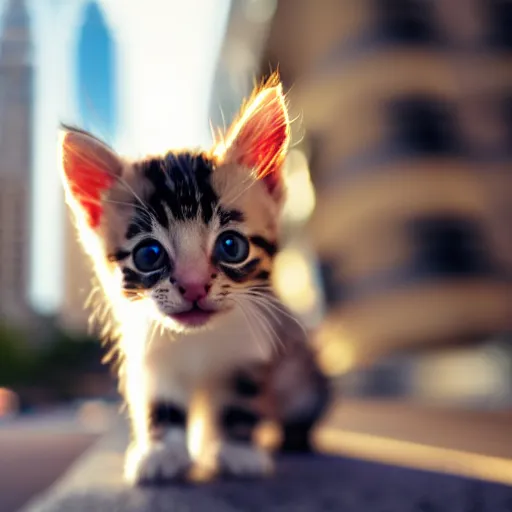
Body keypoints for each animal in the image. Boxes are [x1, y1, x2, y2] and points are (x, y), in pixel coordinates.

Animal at [58, 76, 330, 484]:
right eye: (149, 254)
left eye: (231, 246)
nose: (194, 286)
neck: (198, 340)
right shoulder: (150, 359)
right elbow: (161, 405)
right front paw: (162, 453)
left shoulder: (253, 348)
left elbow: (241, 399)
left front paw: (239, 451)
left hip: (302, 375)